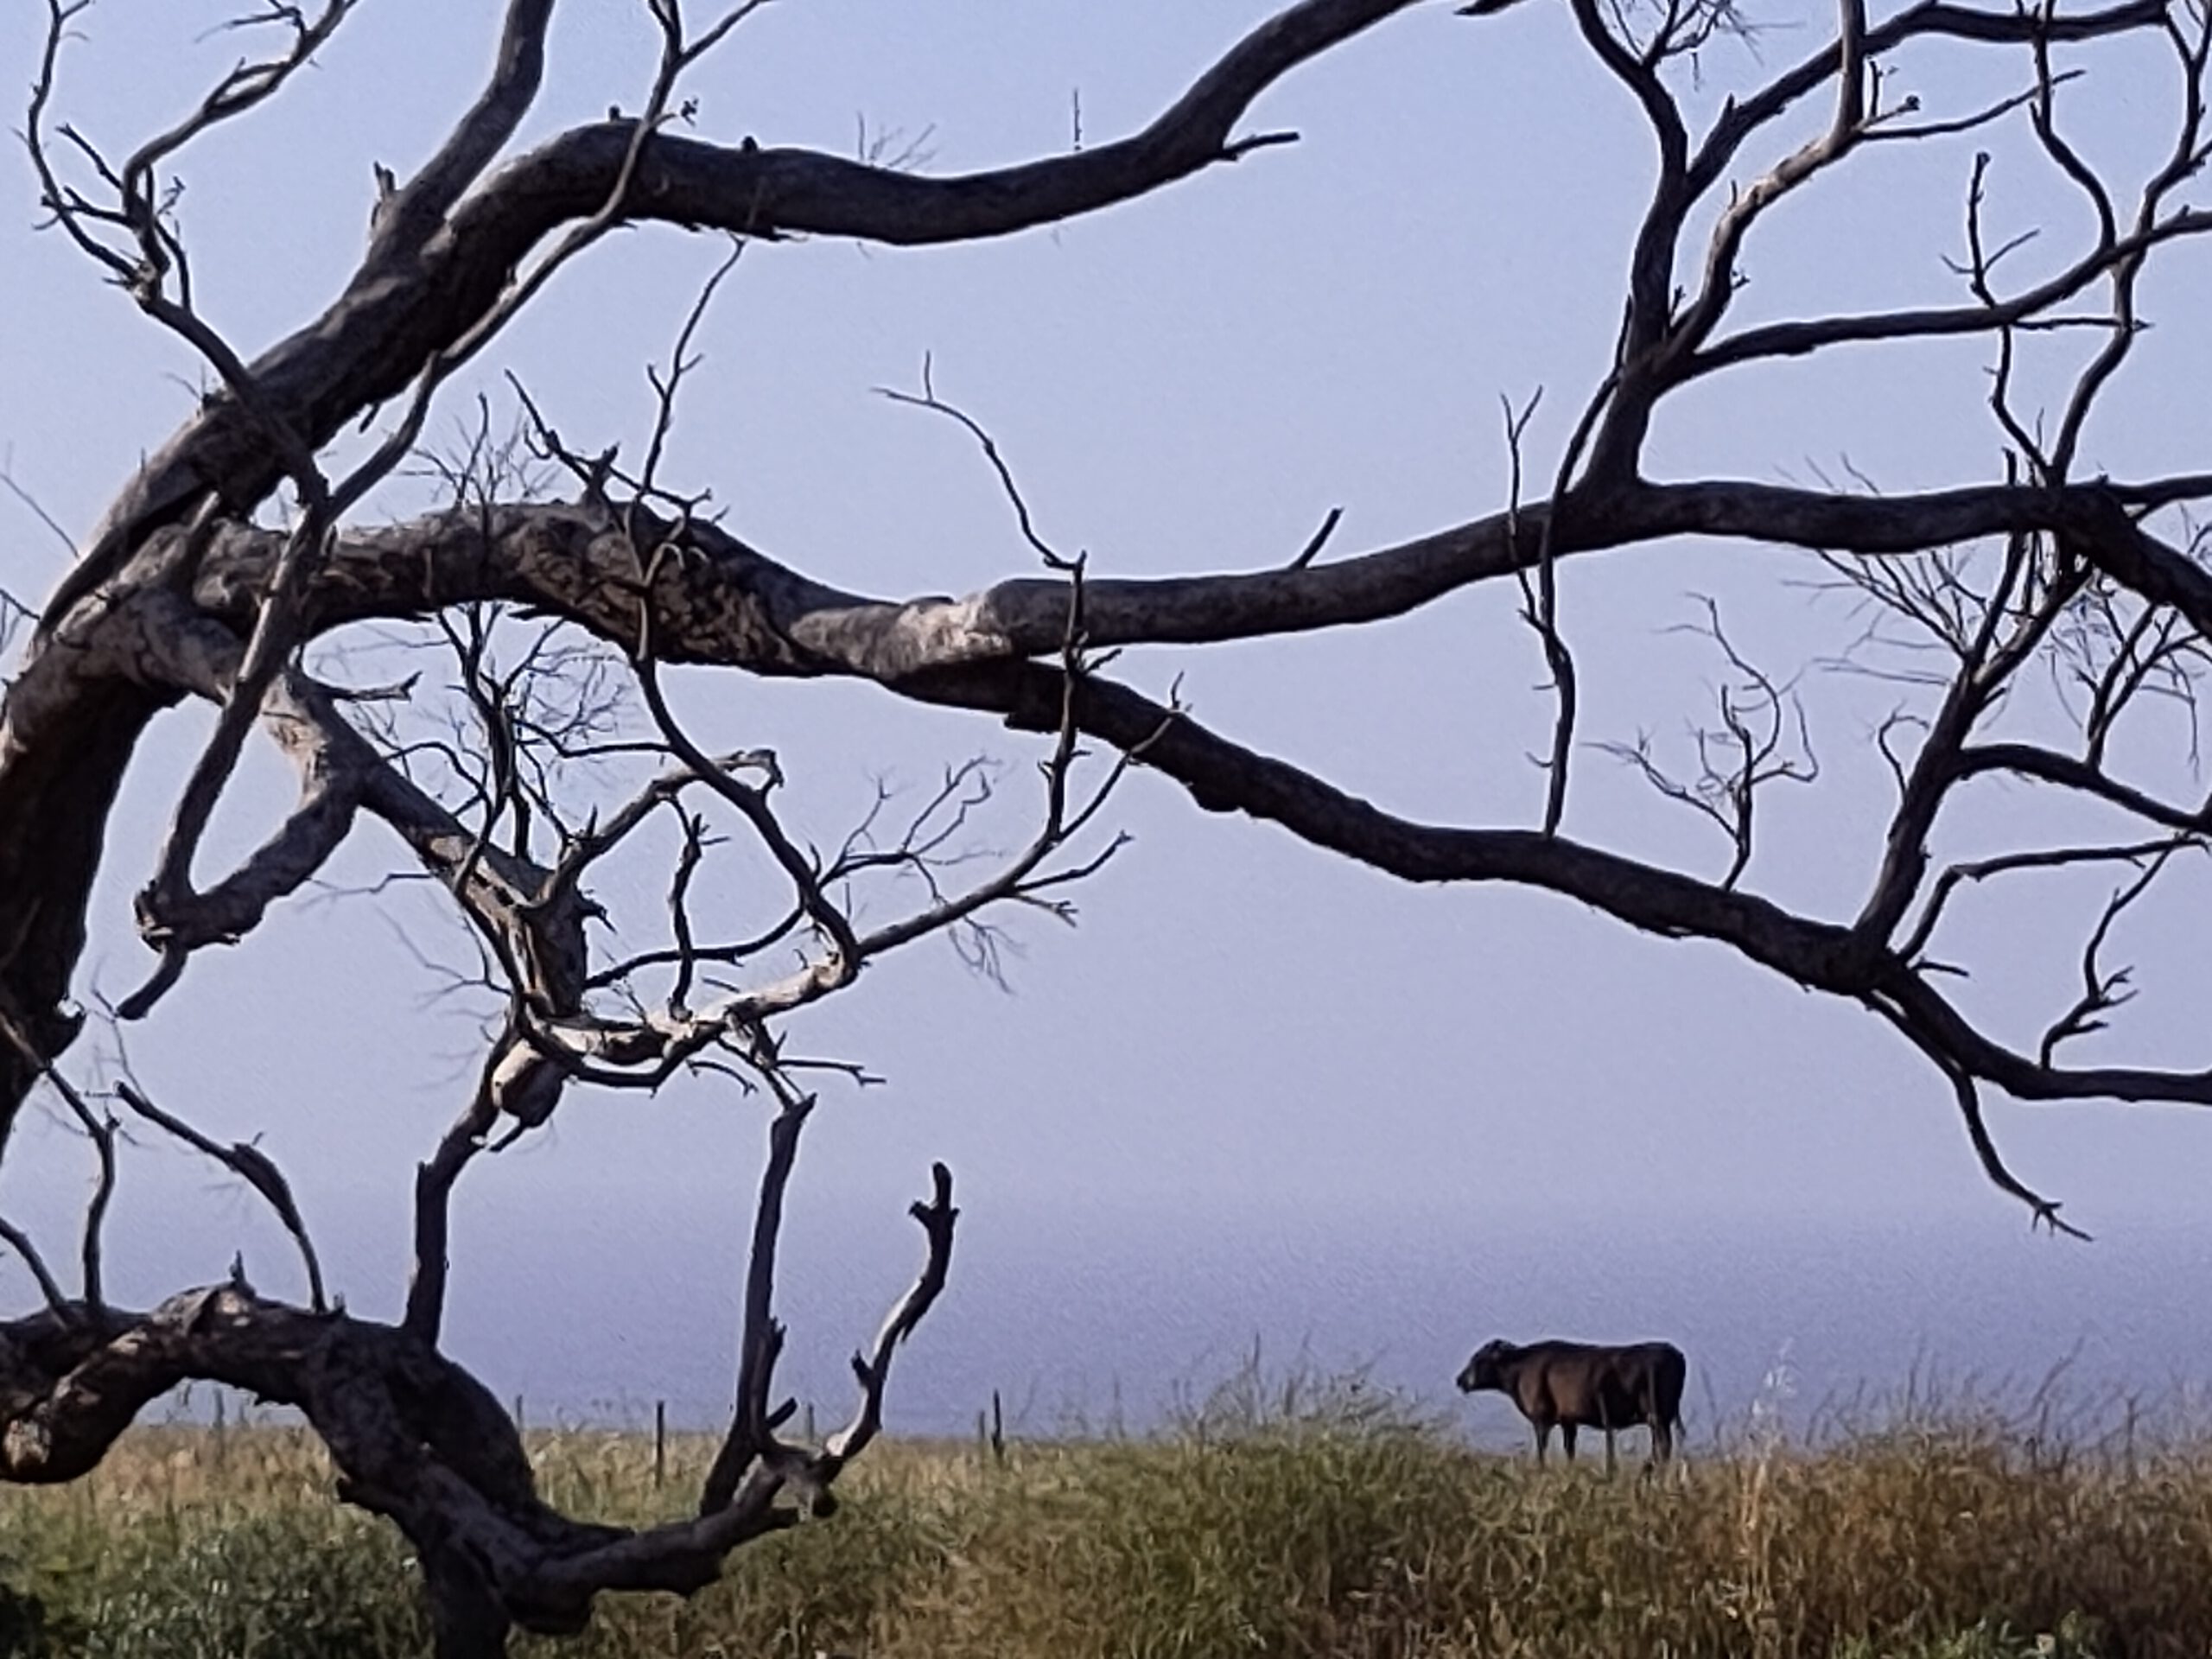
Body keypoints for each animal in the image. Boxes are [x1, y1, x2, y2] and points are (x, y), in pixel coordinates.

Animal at [1455, 1338, 1686, 1473]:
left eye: (1478, 1359)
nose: (1460, 1380)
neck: (1520, 1370)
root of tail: (1674, 1352)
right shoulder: (1569, 1420)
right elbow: (1570, 1450)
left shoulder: (1541, 1419)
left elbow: (1542, 1450)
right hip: (1659, 1419)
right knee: (1660, 1447)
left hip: (1658, 1416)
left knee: (1663, 1447)